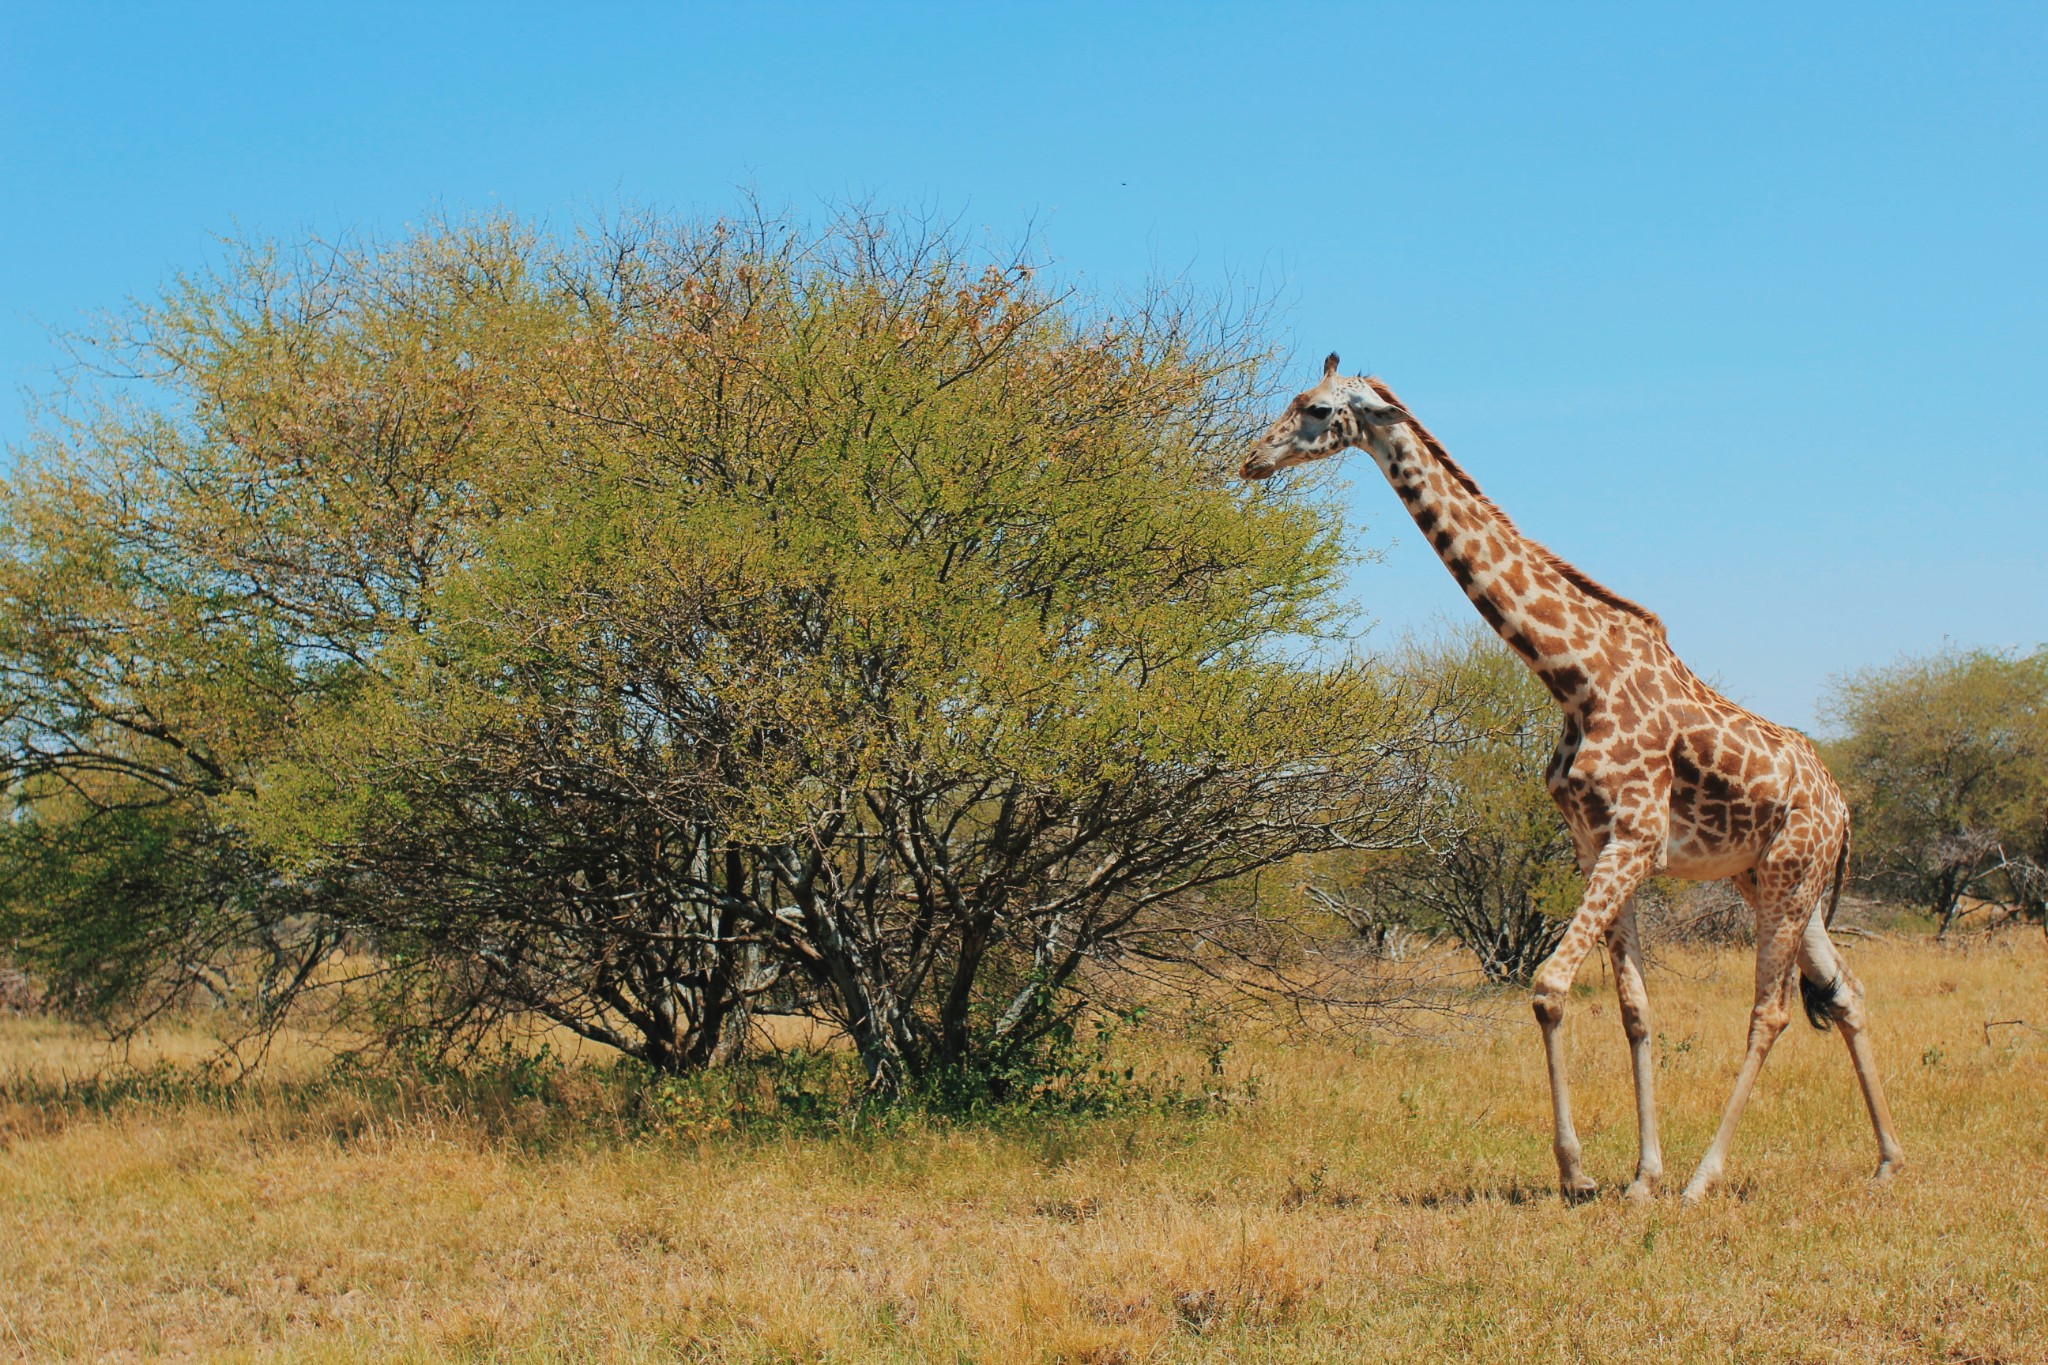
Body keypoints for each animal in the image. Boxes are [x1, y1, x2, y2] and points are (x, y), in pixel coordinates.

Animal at [1236, 358, 1908, 1203]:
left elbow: (1550, 986)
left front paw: (1582, 1172)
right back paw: (1887, 1160)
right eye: (1294, 400)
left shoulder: (1635, 839)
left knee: (1772, 1011)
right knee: (1847, 991)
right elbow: (1634, 1008)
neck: (1571, 675)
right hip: (1773, 879)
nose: (1252, 459)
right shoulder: (1596, 845)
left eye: (1319, 410)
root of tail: (1844, 807)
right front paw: (1639, 1174)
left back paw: (1707, 1177)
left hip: (1791, 875)